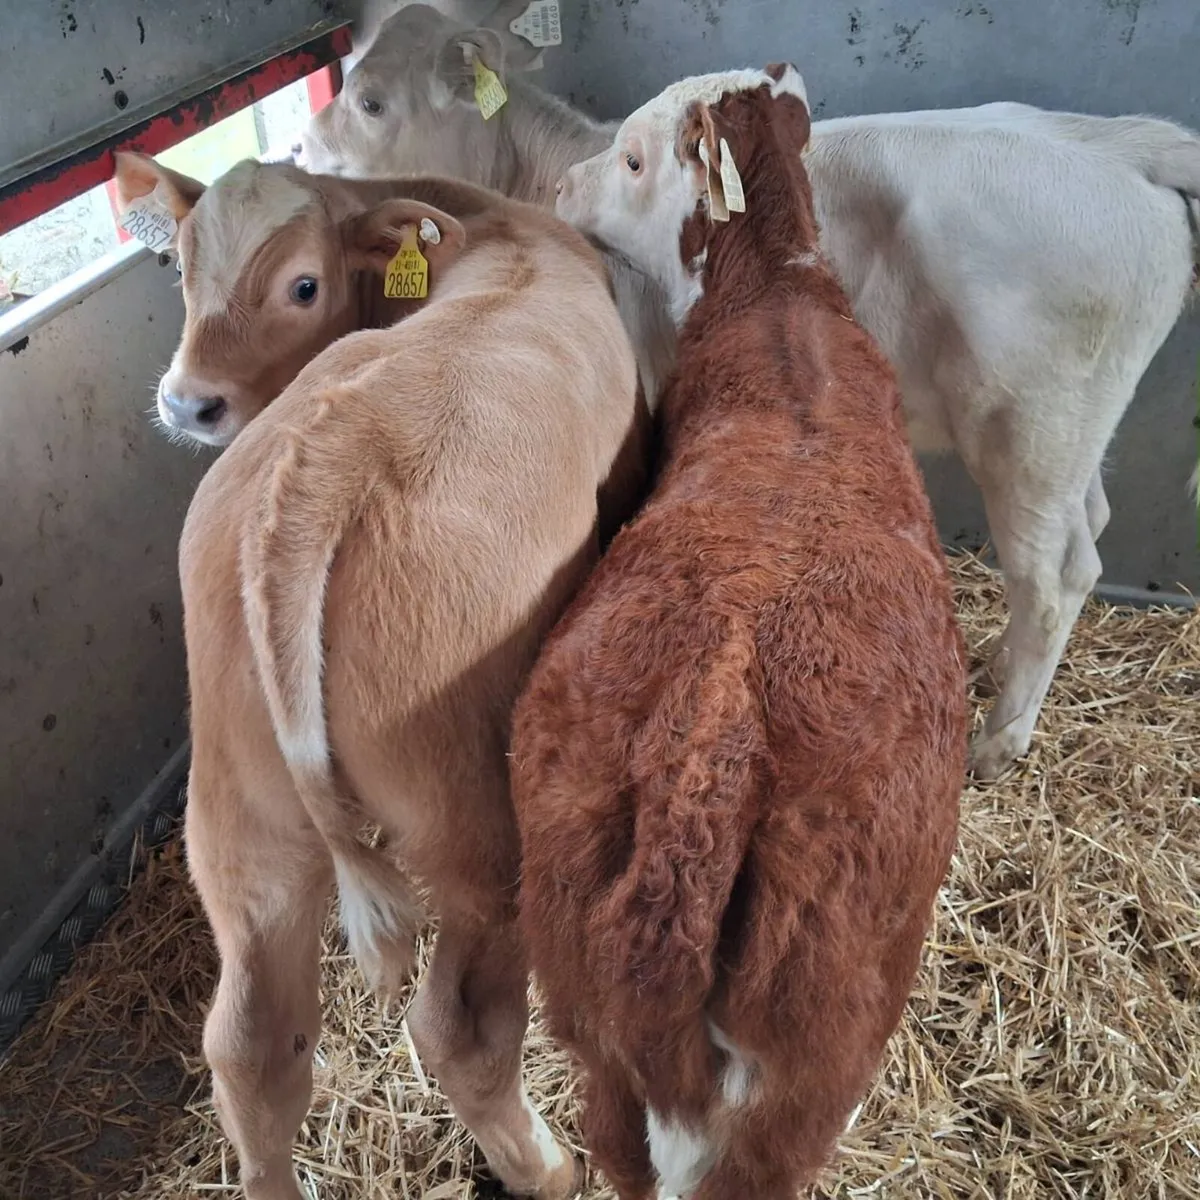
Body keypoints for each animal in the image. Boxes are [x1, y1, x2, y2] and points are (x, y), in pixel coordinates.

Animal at [121, 154, 639, 1200]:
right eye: (182, 272)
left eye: (302, 285)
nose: (189, 401)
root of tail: (325, 466)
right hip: (477, 823)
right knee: (461, 1028)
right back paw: (549, 1167)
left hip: (241, 823)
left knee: (251, 1048)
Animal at [297, 2, 1200, 779]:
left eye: (370, 102)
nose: (302, 149)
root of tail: (1119, 145)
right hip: (1071, 436)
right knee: (1088, 530)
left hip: (1027, 431)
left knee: (1054, 577)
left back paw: (999, 740)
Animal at [510, 64, 967, 1200]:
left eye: (633, 157)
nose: (561, 188)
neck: (777, 293)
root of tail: (712, 744)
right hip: (816, 1058)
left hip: (588, 1010)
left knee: (621, 1139)